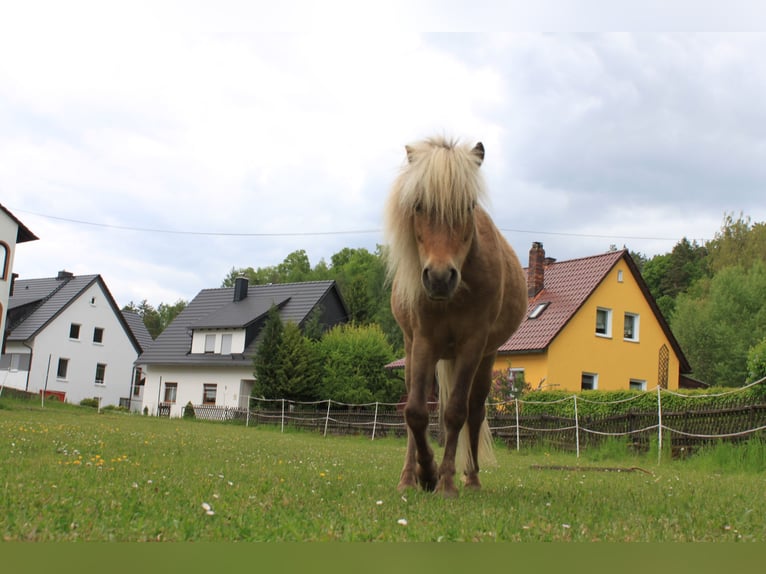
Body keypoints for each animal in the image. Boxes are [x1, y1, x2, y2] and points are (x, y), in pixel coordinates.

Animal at [384, 136, 528, 497]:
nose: (438, 277)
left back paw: (471, 478)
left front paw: (446, 481)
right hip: (415, 351)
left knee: (474, 413)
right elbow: (416, 413)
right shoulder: (423, 341)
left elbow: (456, 413)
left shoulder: (473, 346)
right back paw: (408, 478)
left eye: (468, 206)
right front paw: (425, 473)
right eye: (418, 205)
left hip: (487, 358)